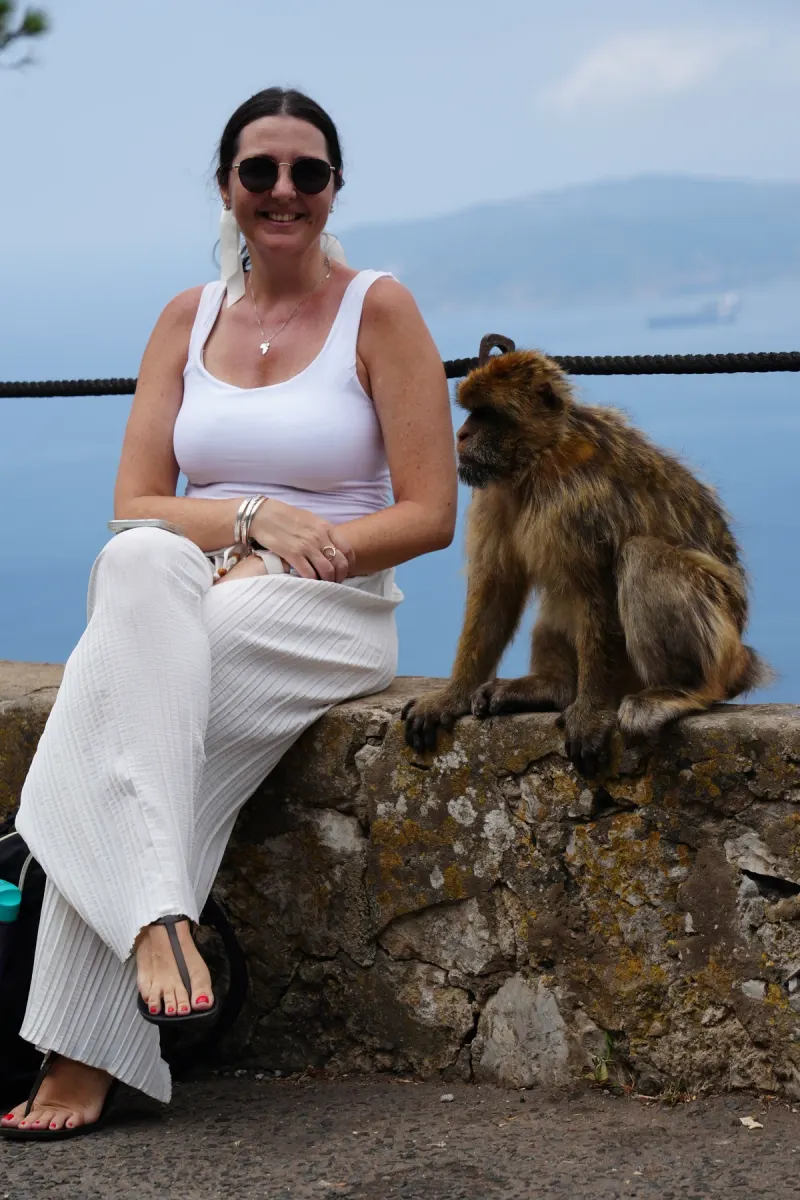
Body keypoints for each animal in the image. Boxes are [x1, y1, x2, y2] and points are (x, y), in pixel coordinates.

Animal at [402, 347, 770, 775]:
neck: (537, 460)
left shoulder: (579, 501)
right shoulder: (493, 494)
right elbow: (496, 587)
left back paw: (681, 690)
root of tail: (740, 656)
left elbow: (596, 589)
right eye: (472, 412)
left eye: (487, 414)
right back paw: (554, 687)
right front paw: (453, 696)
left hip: (717, 634)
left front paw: (592, 713)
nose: (461, 435)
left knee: (640, 556)